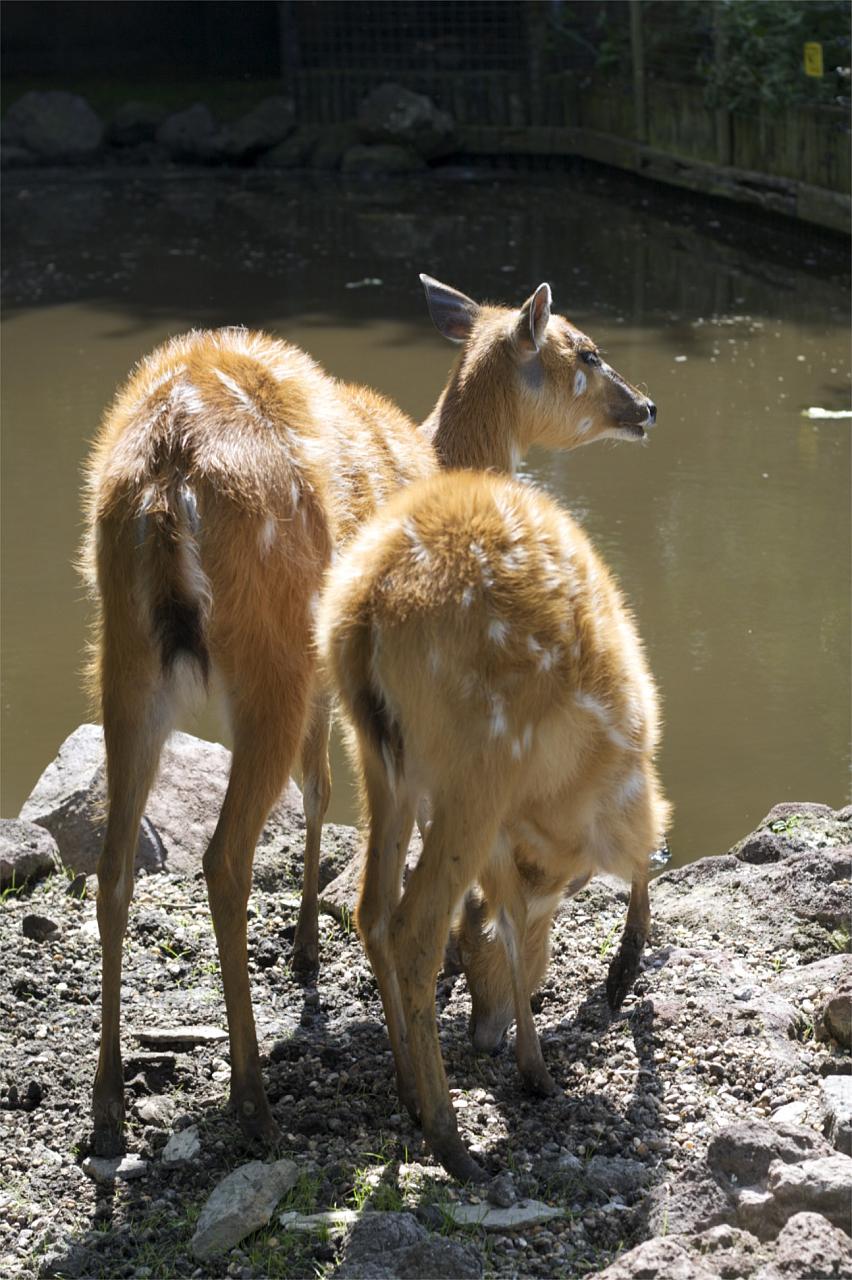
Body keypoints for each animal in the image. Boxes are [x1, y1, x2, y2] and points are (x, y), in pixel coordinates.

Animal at [318, 471, 670, 1177]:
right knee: (414, 926)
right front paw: (621, 979)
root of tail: (363, 611)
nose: (484, 1036)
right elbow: (642, 853)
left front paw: (535, 1068)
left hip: (382, 760)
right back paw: (453, 1145)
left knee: (373, 908)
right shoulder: (618, 790)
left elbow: (505, 911)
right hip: (477, 760)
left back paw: (409, 1091)